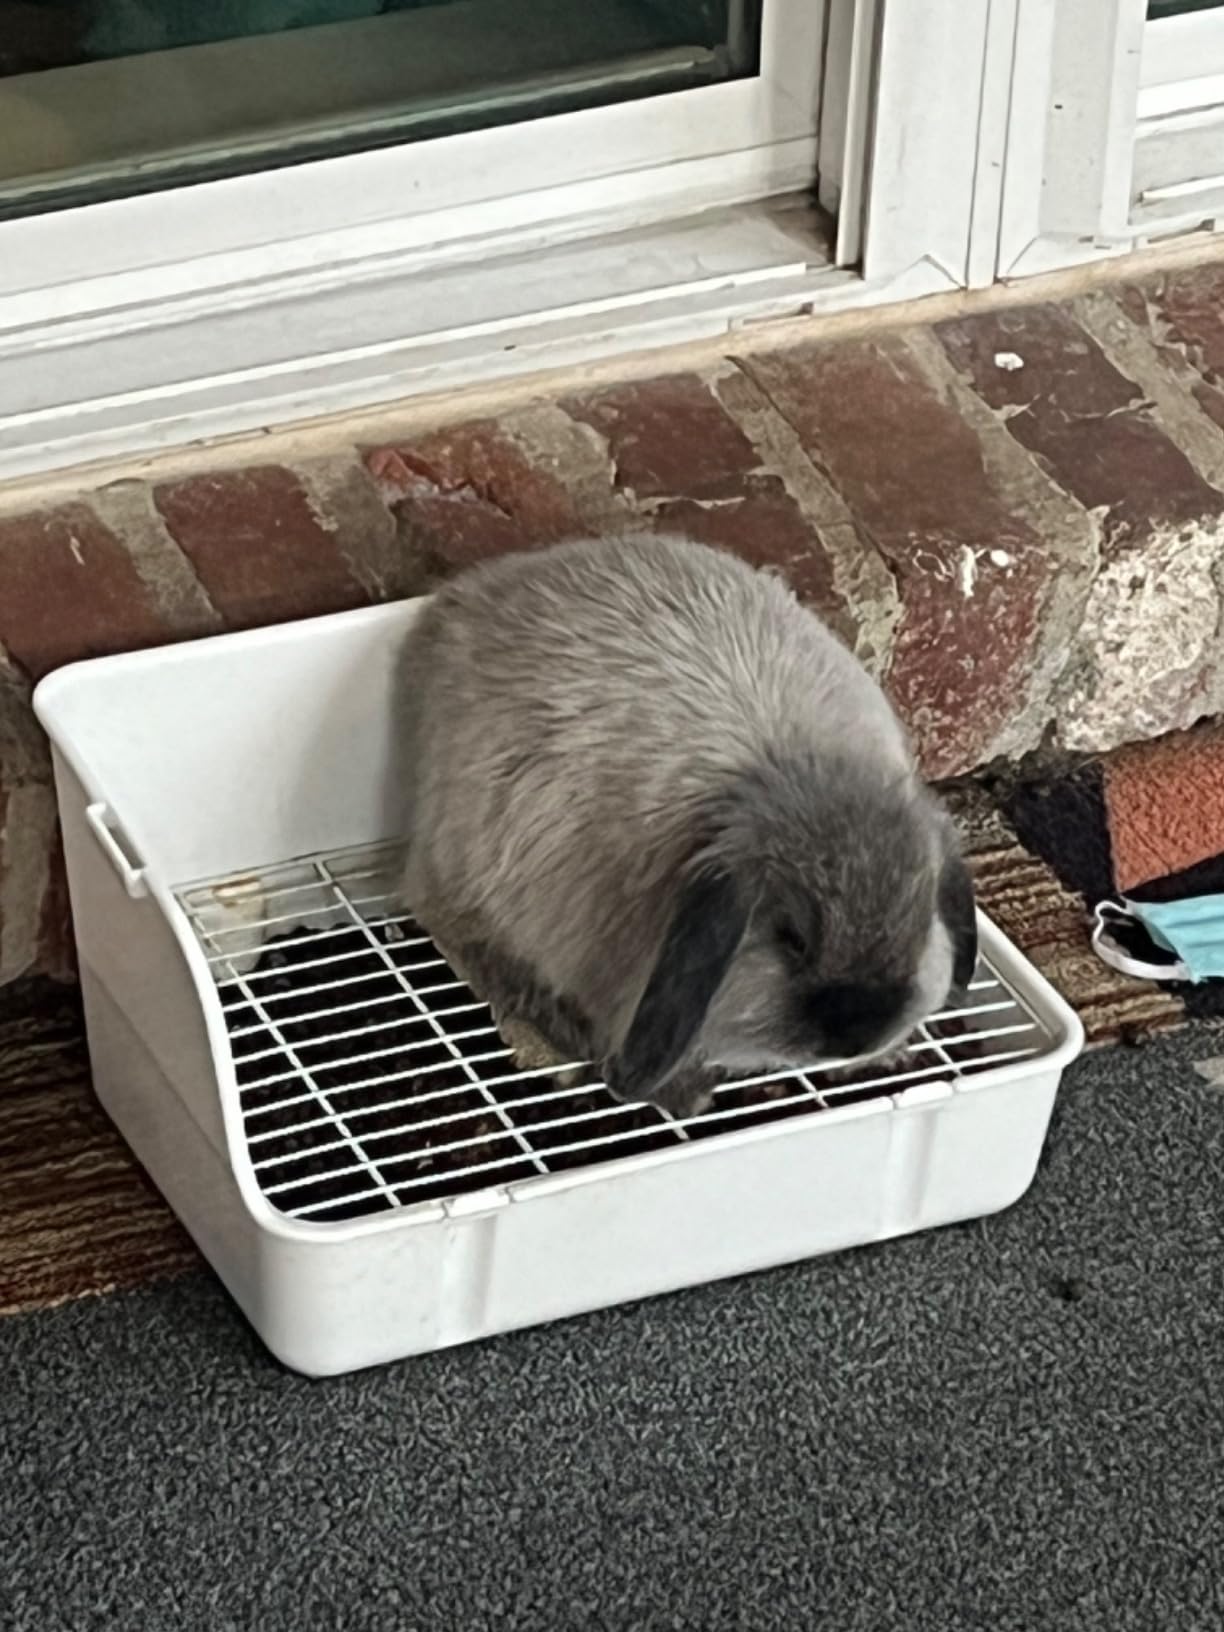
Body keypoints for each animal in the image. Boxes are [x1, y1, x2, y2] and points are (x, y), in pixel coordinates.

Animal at [399, 532, 978, 1118]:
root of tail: (462, 600)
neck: (792, 772)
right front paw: (686, 1095)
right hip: (468, 877)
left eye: (923, 922)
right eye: (790, 939)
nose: (859, 1034)